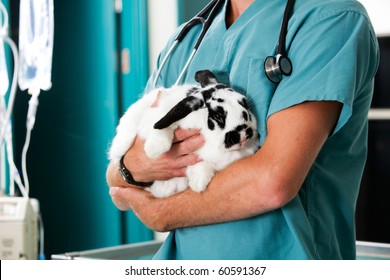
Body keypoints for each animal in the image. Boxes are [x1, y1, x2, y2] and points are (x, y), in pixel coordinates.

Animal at [108, 69, 258, 197]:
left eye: (245, 104)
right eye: (217, 116)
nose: (243, 134)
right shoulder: (159, 116)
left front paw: (198, 183)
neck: (210, 139)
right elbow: (162, 128)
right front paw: (154, 151)